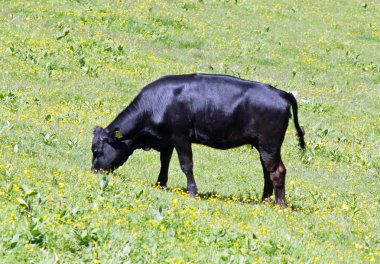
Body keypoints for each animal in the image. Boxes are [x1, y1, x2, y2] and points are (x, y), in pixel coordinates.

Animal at [92, 73, 306, 205]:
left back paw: (279, 204)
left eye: (97, 150)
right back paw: (264, 200)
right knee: (267, 171)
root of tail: (282, 93)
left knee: (277, 171)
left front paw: (192, 192)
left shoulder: (180, 136)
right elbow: (164, 162)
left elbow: (186, 165)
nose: (93, 170)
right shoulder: (167, 139)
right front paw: (160, 184)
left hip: (270, 144)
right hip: (262, 146)